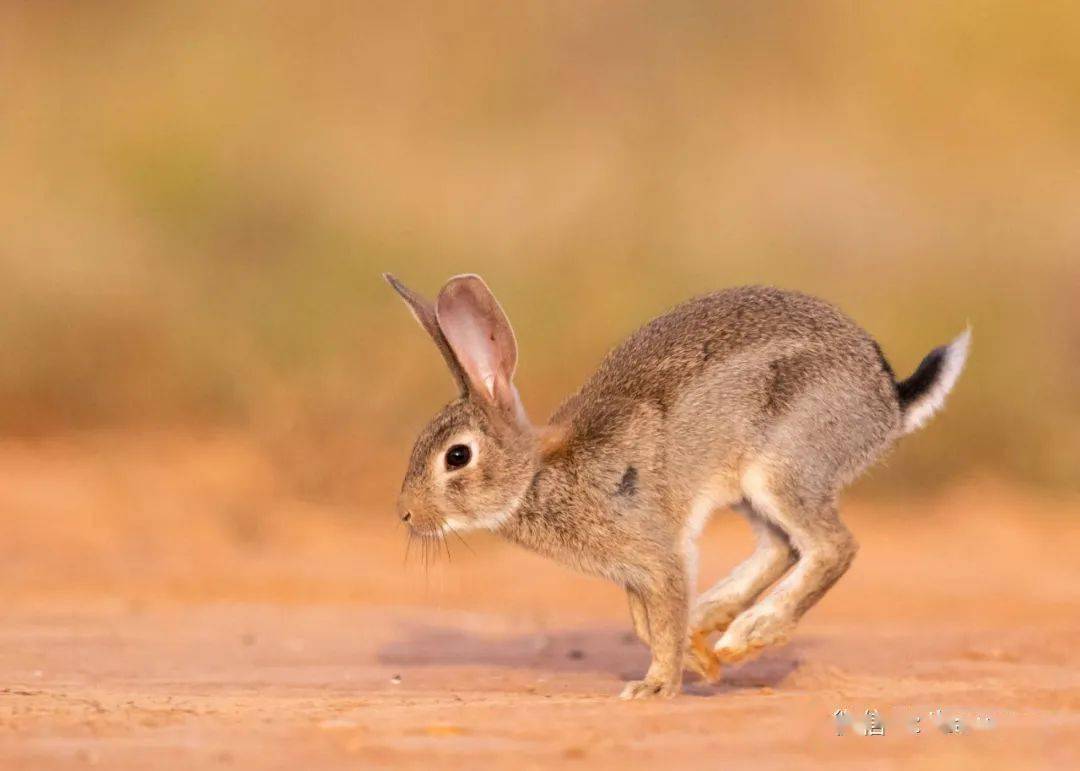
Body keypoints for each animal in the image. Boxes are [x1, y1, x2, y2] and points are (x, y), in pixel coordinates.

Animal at [386, 273, 972, 699]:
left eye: (457, 456)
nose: (406, 514)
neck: (536, 474)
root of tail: (887, 402)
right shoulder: (635, 571)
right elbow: (648, 626)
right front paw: (699, 665)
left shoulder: (658, 553)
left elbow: (660, 624)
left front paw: (656, 687)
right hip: (748, 490)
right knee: (783, 548)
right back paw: (715, 624)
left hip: (782, 468)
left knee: (832, 547)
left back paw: (749, 633)